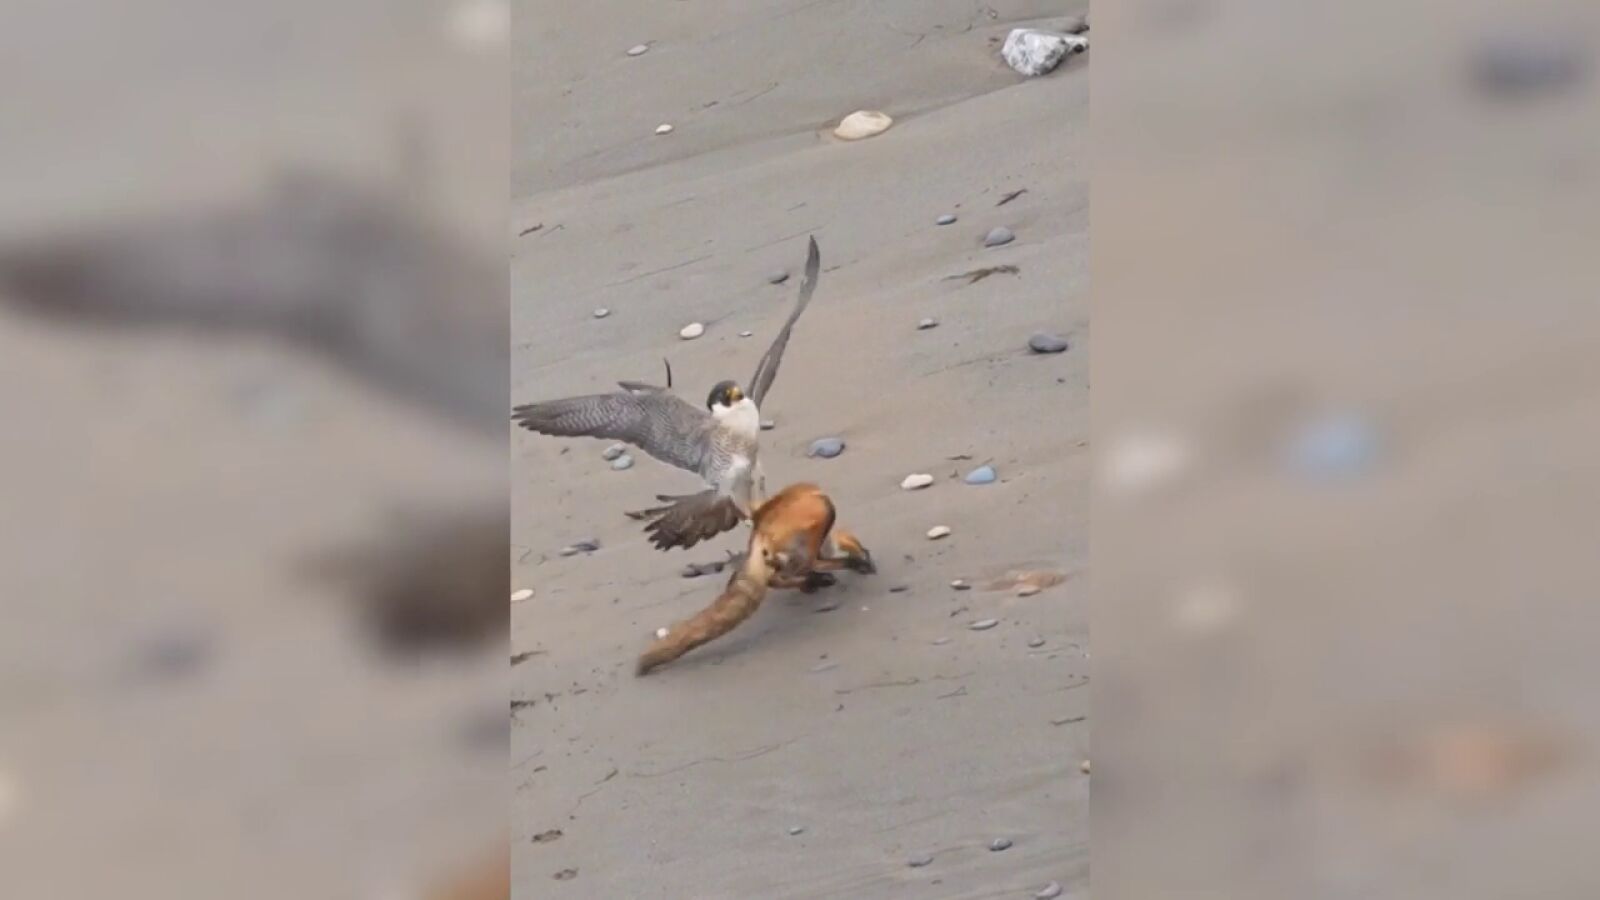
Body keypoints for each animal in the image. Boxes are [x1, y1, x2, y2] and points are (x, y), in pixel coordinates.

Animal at [635, 482, 874, 676]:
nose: (866, 559)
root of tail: (759, 529)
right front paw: (860, 562)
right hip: (823, 509)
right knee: (803, 565)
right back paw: (830, 571)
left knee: (779, 576)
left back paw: (813, 579)